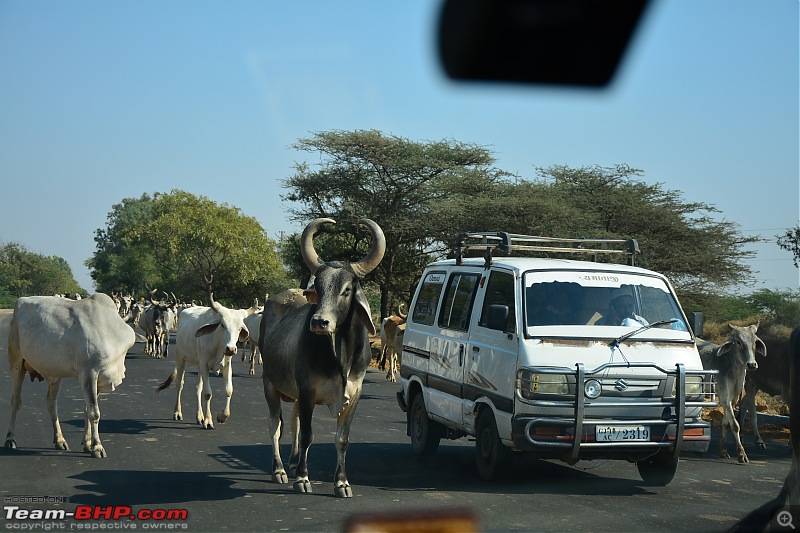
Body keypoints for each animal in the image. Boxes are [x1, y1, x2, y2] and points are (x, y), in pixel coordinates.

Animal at [4, 294, 135, 456]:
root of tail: (20, 301)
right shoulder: (89, 373)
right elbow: (94, 413)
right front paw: (97, 447)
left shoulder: (96, 380)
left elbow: (87, 410)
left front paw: (87, 444)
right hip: (16, 362)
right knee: (15, 401)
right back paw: (10, 439)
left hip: (55, 375)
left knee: (51, 402)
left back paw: (59, 440)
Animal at [155, 290, 256, 428]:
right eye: (222, 325)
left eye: (240, 327)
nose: (231, 349)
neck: (218, 343)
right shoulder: (204, 365)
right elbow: (208, 393)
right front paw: (208, 420)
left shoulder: (226, 365)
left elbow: (229, 390)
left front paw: (221, 416)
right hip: (181, 358)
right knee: (179, 384)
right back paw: (177, 412)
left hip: (198, 365)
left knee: (198, 387)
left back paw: (199, 416)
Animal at [260, 217, 384, 498]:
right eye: (318, 286)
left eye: (347, 290)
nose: (319, 322)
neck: (340, 357)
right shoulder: (307, 391)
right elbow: (307, 435)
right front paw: (303, 479)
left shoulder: (354, 394)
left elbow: (342, 439)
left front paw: (342, 483)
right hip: (269, 384)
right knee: (275, 427)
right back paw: (280, 470)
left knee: (291, 423)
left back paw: (293, 463)